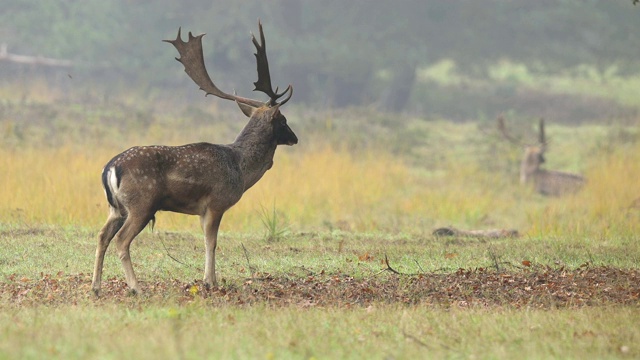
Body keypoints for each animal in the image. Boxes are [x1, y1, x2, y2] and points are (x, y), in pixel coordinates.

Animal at [90, 20, 298, 296]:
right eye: (283, 120)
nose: (295, 138)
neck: (240, 168)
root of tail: (110, 168)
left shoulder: (201, 210)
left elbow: (206, 240)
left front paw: (208, 279)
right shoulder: (216, 202)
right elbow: (212, 241)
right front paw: (211, 282)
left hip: (116, 208)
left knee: (102, 236)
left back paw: (95, 287)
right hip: (141, 204)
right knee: (122, 240)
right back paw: (137, 288)